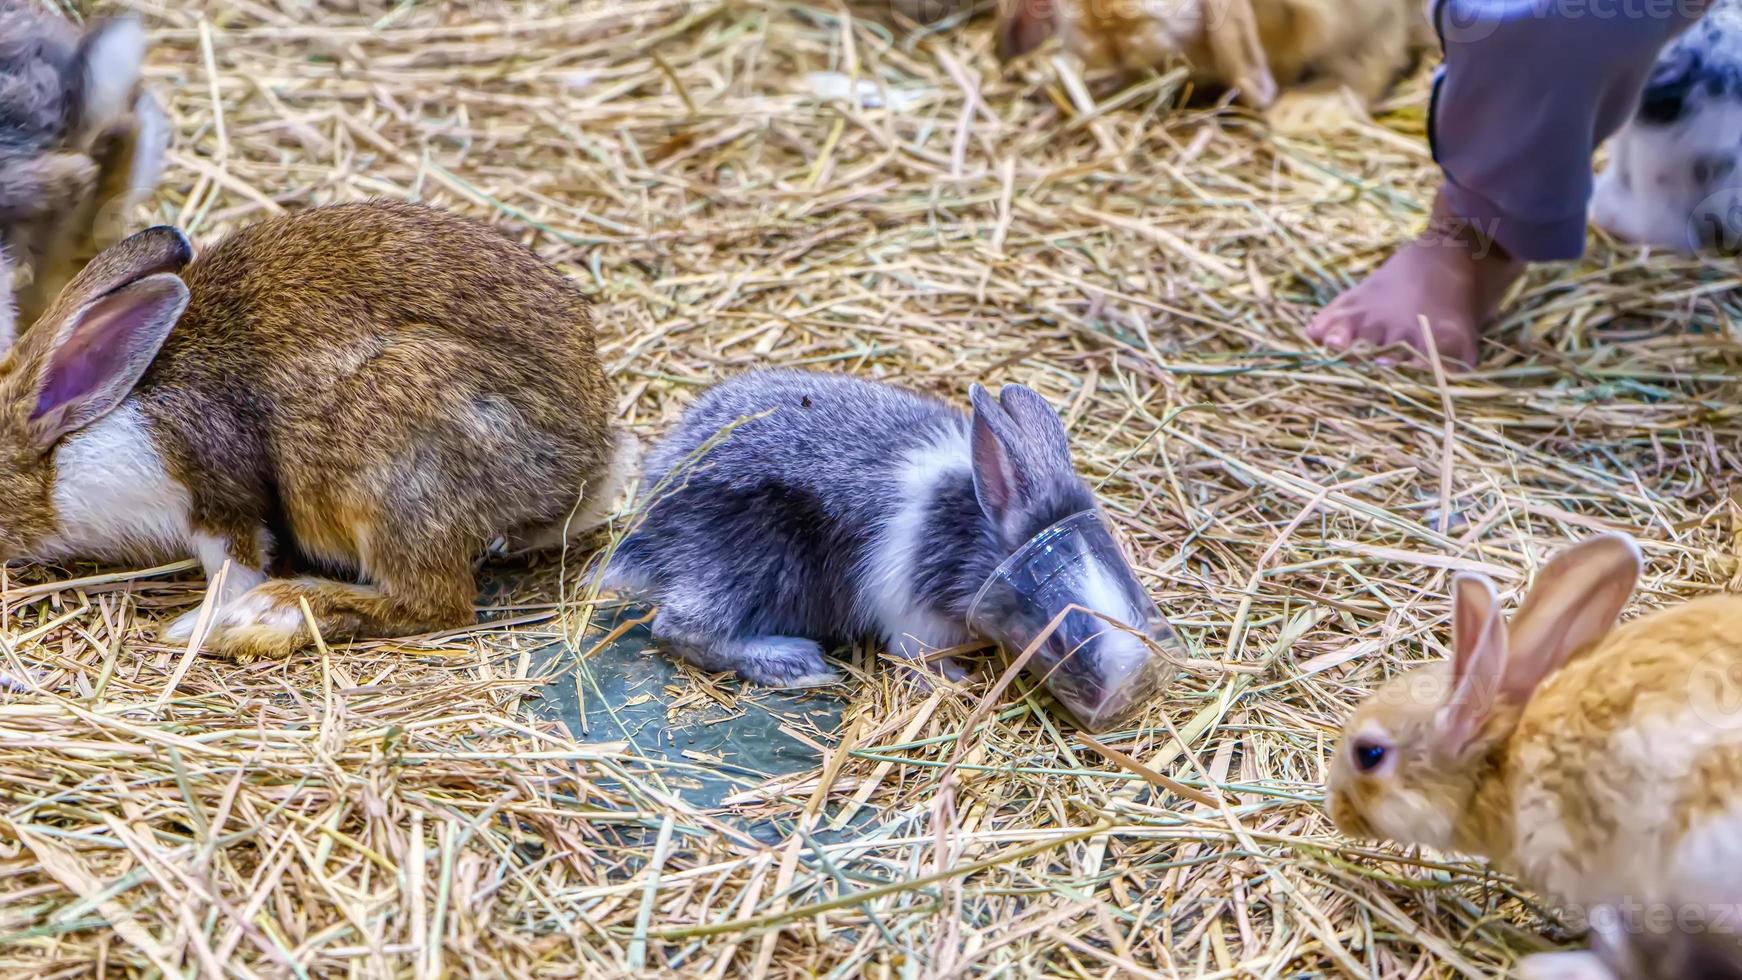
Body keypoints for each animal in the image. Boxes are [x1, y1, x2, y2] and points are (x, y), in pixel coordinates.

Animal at [0, 199, 634, 657]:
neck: (66, 446)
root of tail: (586, 465)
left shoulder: (214, 491)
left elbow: (235, 563)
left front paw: (195, 627)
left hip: (389, 478)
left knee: (436, 604)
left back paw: (269, 617)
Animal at [606, 372, 1135, 685]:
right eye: (1061, 633)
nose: (1123, 682)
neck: (968, 532)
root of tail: (654, 520)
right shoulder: (916, 623)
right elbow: (918, 656)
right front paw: (956, 679)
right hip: (752, 564)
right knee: (679, 629)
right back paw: (795, 662)